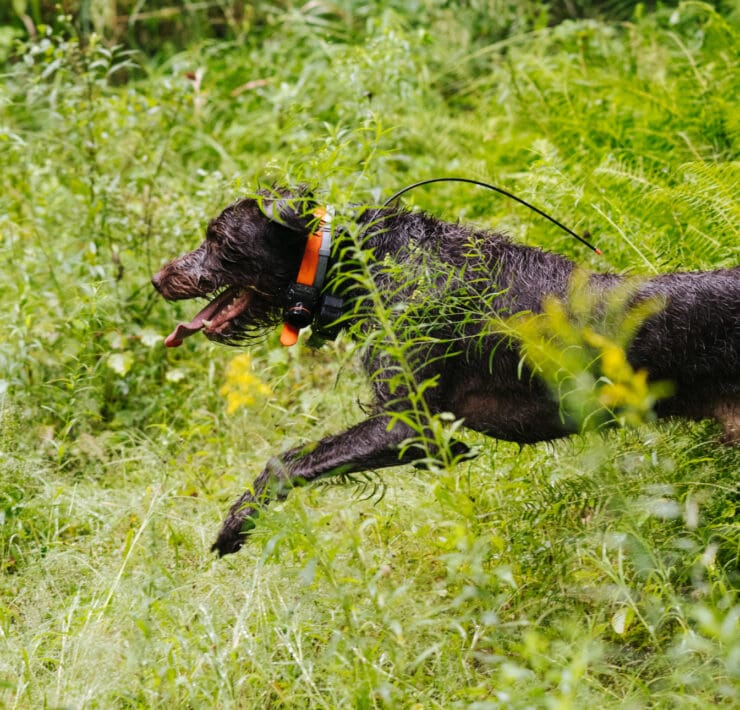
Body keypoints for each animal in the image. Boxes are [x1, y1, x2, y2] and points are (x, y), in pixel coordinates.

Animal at [152, 188, 740, 556]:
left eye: (218, 241)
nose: (160, 278)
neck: (362, 261)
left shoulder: (408, 424)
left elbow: (285, 462)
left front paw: (236, 523)